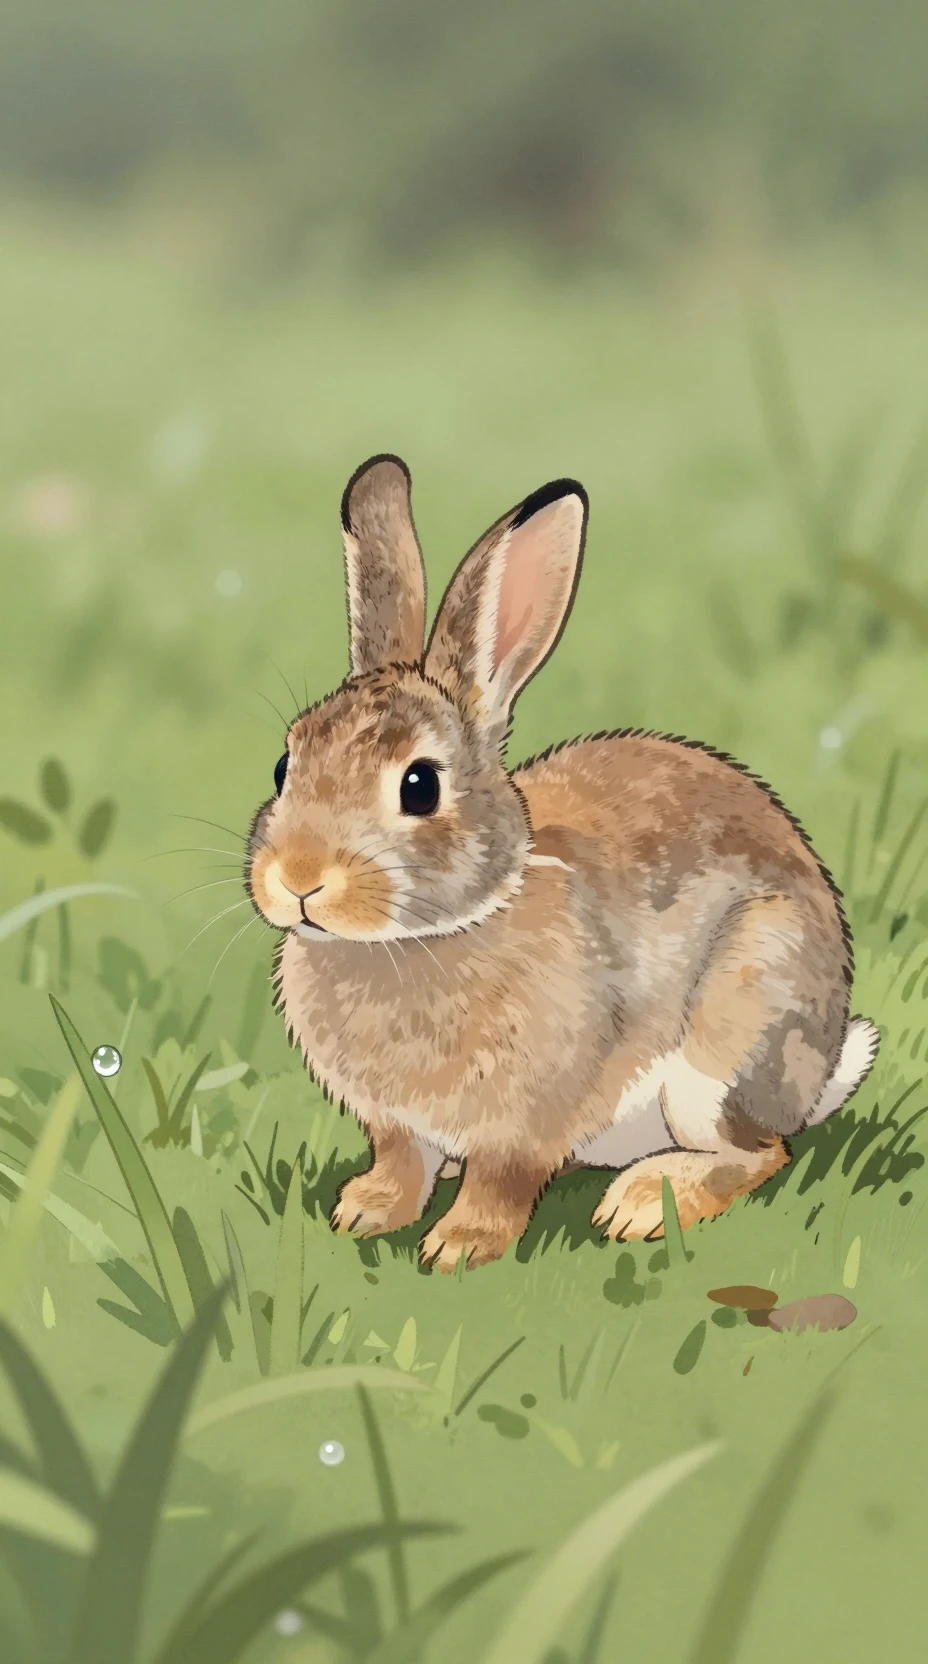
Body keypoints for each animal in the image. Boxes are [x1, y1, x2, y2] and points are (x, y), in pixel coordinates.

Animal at [246, 454, 879, 1271]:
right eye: (283, 766)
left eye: (419, 786)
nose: (298, 880)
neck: (426, 936)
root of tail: (819, 1073)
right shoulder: (395, 1125)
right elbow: (402, 1160)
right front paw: (367, 1210)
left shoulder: (529, 1116)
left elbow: (503, 1179)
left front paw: (459, 1245)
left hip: (732, 1034)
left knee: (763, 1152)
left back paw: (643, 1202)